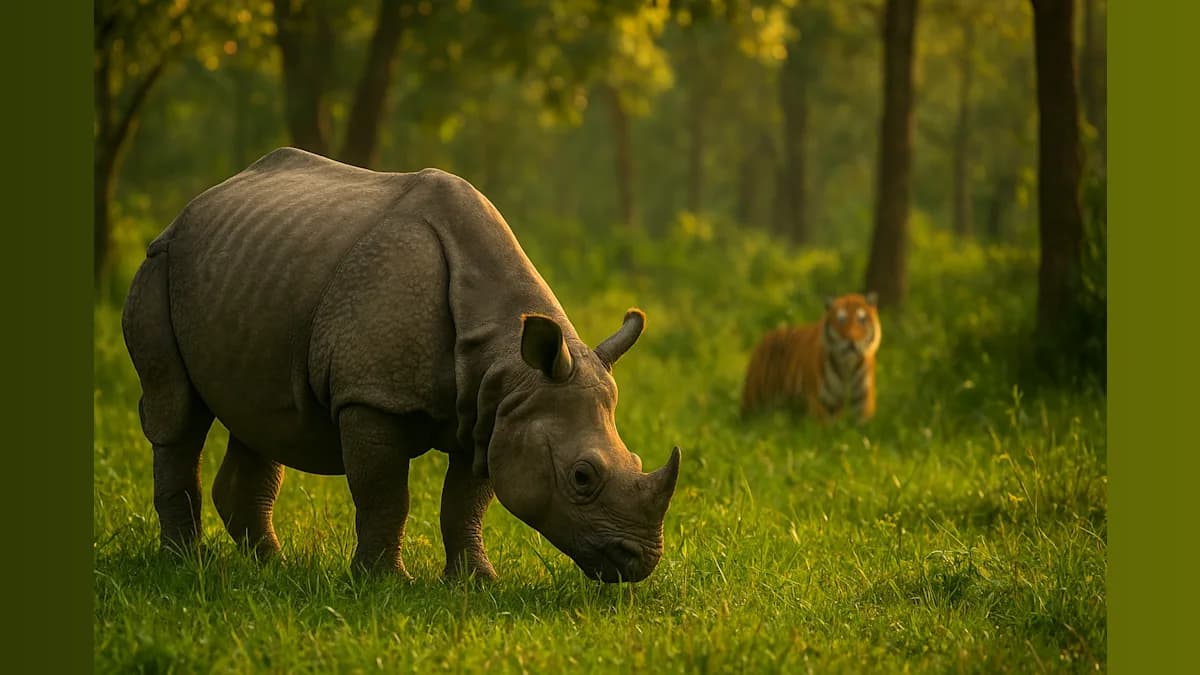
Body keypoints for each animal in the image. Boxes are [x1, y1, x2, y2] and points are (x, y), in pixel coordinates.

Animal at [121, 147, 681, 583]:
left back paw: (270, 568)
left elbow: (465, 502)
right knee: (177, 414)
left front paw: (475, 583)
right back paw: (184, 565)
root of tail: (196, 203)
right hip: (160, 263)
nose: (638, 562)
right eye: (582, 477)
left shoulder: (494, 408)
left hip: (249, 274)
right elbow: (385, 494)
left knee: (262, 417)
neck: (509, 360)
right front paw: (383, 583)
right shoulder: (373, 397)